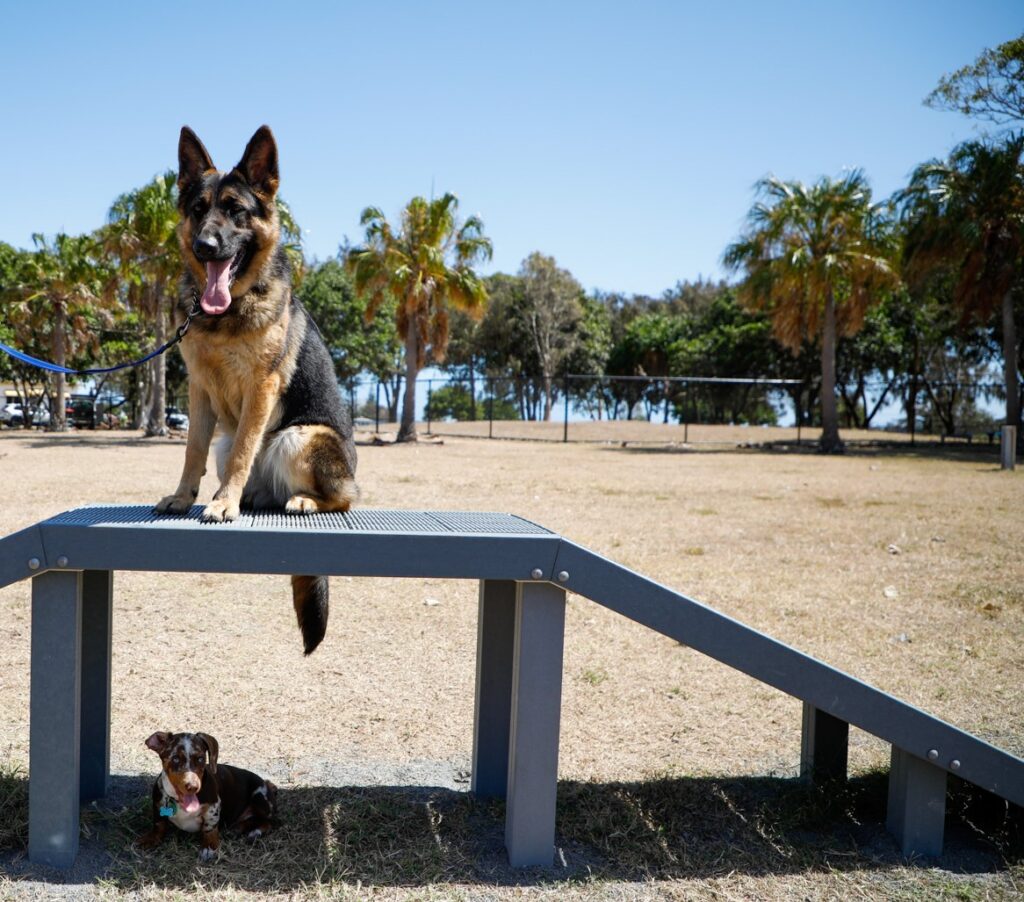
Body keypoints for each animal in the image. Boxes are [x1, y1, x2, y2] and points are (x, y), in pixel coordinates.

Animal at [139, 728, 280, 864]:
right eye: (175, 759)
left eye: (201, 759)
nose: (193, 786)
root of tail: (268, 784)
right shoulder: (157, 805)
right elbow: (159, 824)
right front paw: (150, 838)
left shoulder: (213, 808)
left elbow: (209, 828)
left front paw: (208, 848)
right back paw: (237, 828)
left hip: (260, 798)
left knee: (269, 822)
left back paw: (255, 832)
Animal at [152, 123, 356, 651]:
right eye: (198, 209)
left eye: (236, 210)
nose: (205, 246)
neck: (227, 312)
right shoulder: (199, 390)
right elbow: (192, 450)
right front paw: (184, 497)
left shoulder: (260, 389)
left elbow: (246, 446)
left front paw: (223, 503)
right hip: (245, 442)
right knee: (237, 467)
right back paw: (252, 497)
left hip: (298, 436)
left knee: (346, 497)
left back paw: (298, 500)